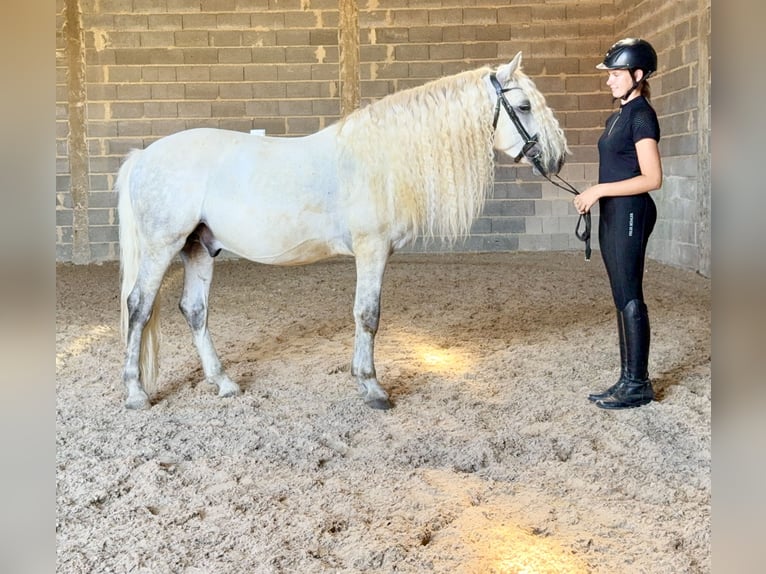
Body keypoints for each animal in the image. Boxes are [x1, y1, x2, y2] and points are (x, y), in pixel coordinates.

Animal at [116, 51, 569, 411]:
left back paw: (223, 382)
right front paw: (372, 388)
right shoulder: (372, 249)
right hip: (162, 246)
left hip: (199, 246)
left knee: (194, 309)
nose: (558, 158)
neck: (382, 160)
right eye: (524, 106)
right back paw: (136, 392)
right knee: (138, 306)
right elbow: (367, 315)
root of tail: (144, 157)